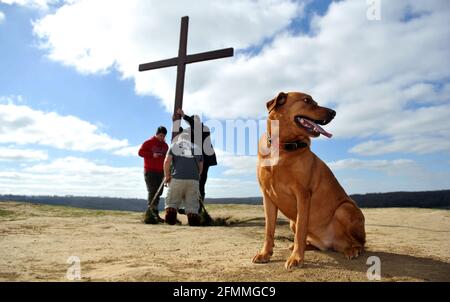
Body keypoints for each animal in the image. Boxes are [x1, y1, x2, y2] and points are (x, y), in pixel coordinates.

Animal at [253, 91, 366, 268]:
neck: (283, 148)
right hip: (292, 221)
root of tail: (329, 244)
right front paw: (265, 253)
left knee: (361, 243)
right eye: (307, 100)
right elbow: (268, 230)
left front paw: (296, 258)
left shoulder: (303, 195)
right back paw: (308, 245)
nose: (333, 112)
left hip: (345, 209)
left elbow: (301, 230)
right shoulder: (267, 197)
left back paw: (352, 250)